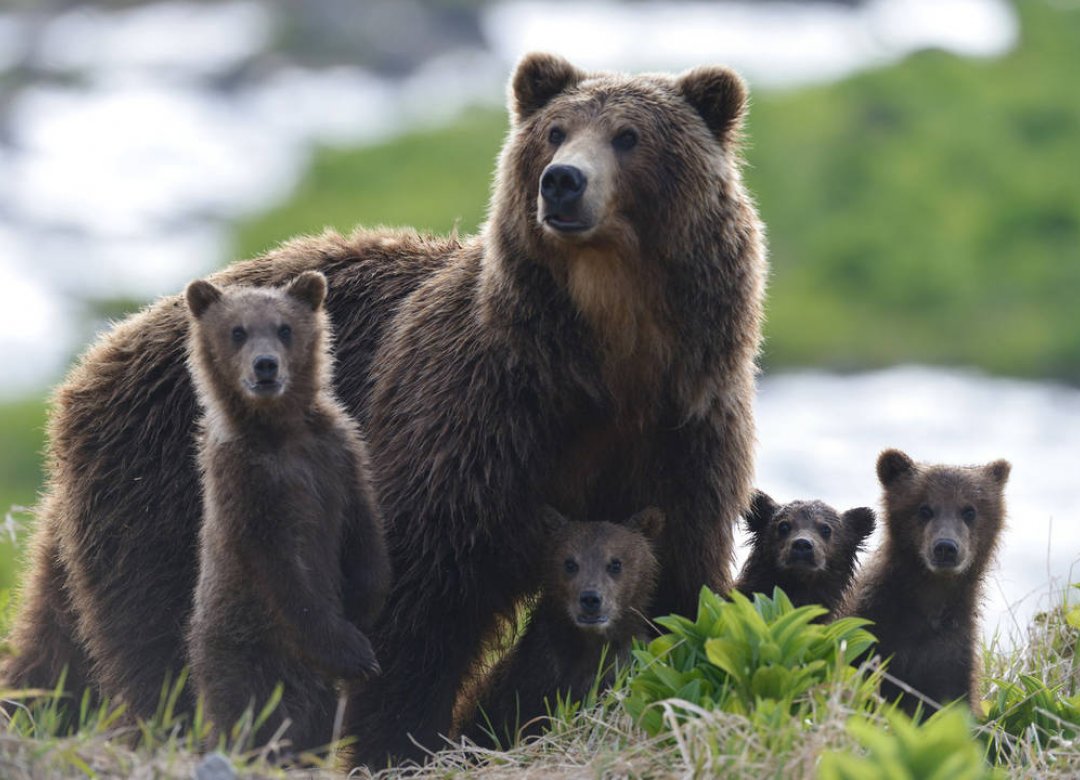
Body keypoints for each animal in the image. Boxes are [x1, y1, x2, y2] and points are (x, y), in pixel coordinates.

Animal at [6, 53, 768, 760]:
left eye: (628, 135)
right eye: (555, 132)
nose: (563, 180)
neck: (605, 358)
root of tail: (95, 361)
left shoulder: (683, 431)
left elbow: (681, 581)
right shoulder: (477, 415)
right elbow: (419, 592)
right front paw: (397, 741)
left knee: (61, 636)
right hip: (167, 495)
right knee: (156, 635)